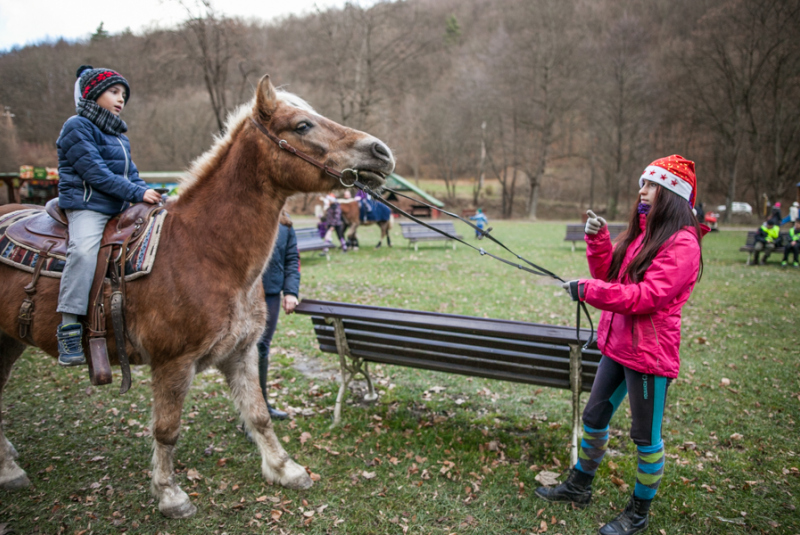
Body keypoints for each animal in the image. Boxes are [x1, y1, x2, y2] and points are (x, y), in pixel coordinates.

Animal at [0, 76, 390, 520]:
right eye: (303, 125)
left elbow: (258, 415)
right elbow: (167, 430)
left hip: (9, 340)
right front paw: (169, 493)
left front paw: (283, 469)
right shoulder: (173, 362)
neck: (204, 249)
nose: (381, 151)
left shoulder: (241, 353)